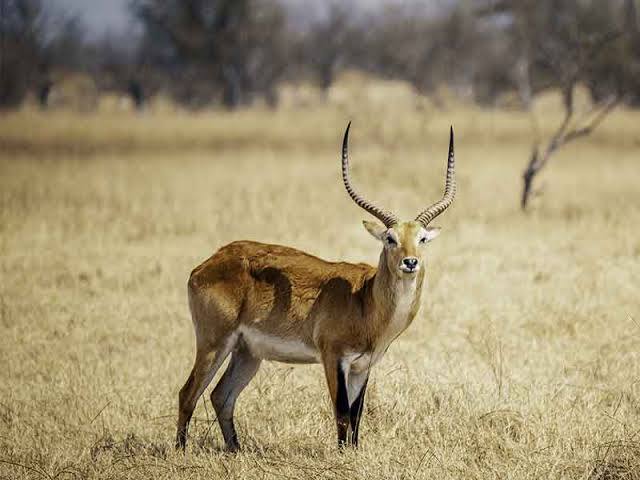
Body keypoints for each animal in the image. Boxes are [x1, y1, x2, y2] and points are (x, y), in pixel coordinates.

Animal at [175, 123, 456, 450]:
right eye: (390, 238)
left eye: (422, 238)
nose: (410, 262)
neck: (365, 301)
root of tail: (209, 262)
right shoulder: (333, 357)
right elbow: (342, 412)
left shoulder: (363, 366)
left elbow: (357, 415)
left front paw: (353, 453)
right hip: (213, 343)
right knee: (188, 393)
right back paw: (181, 451)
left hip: (247, 353)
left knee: (221, 396)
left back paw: (236, 451)